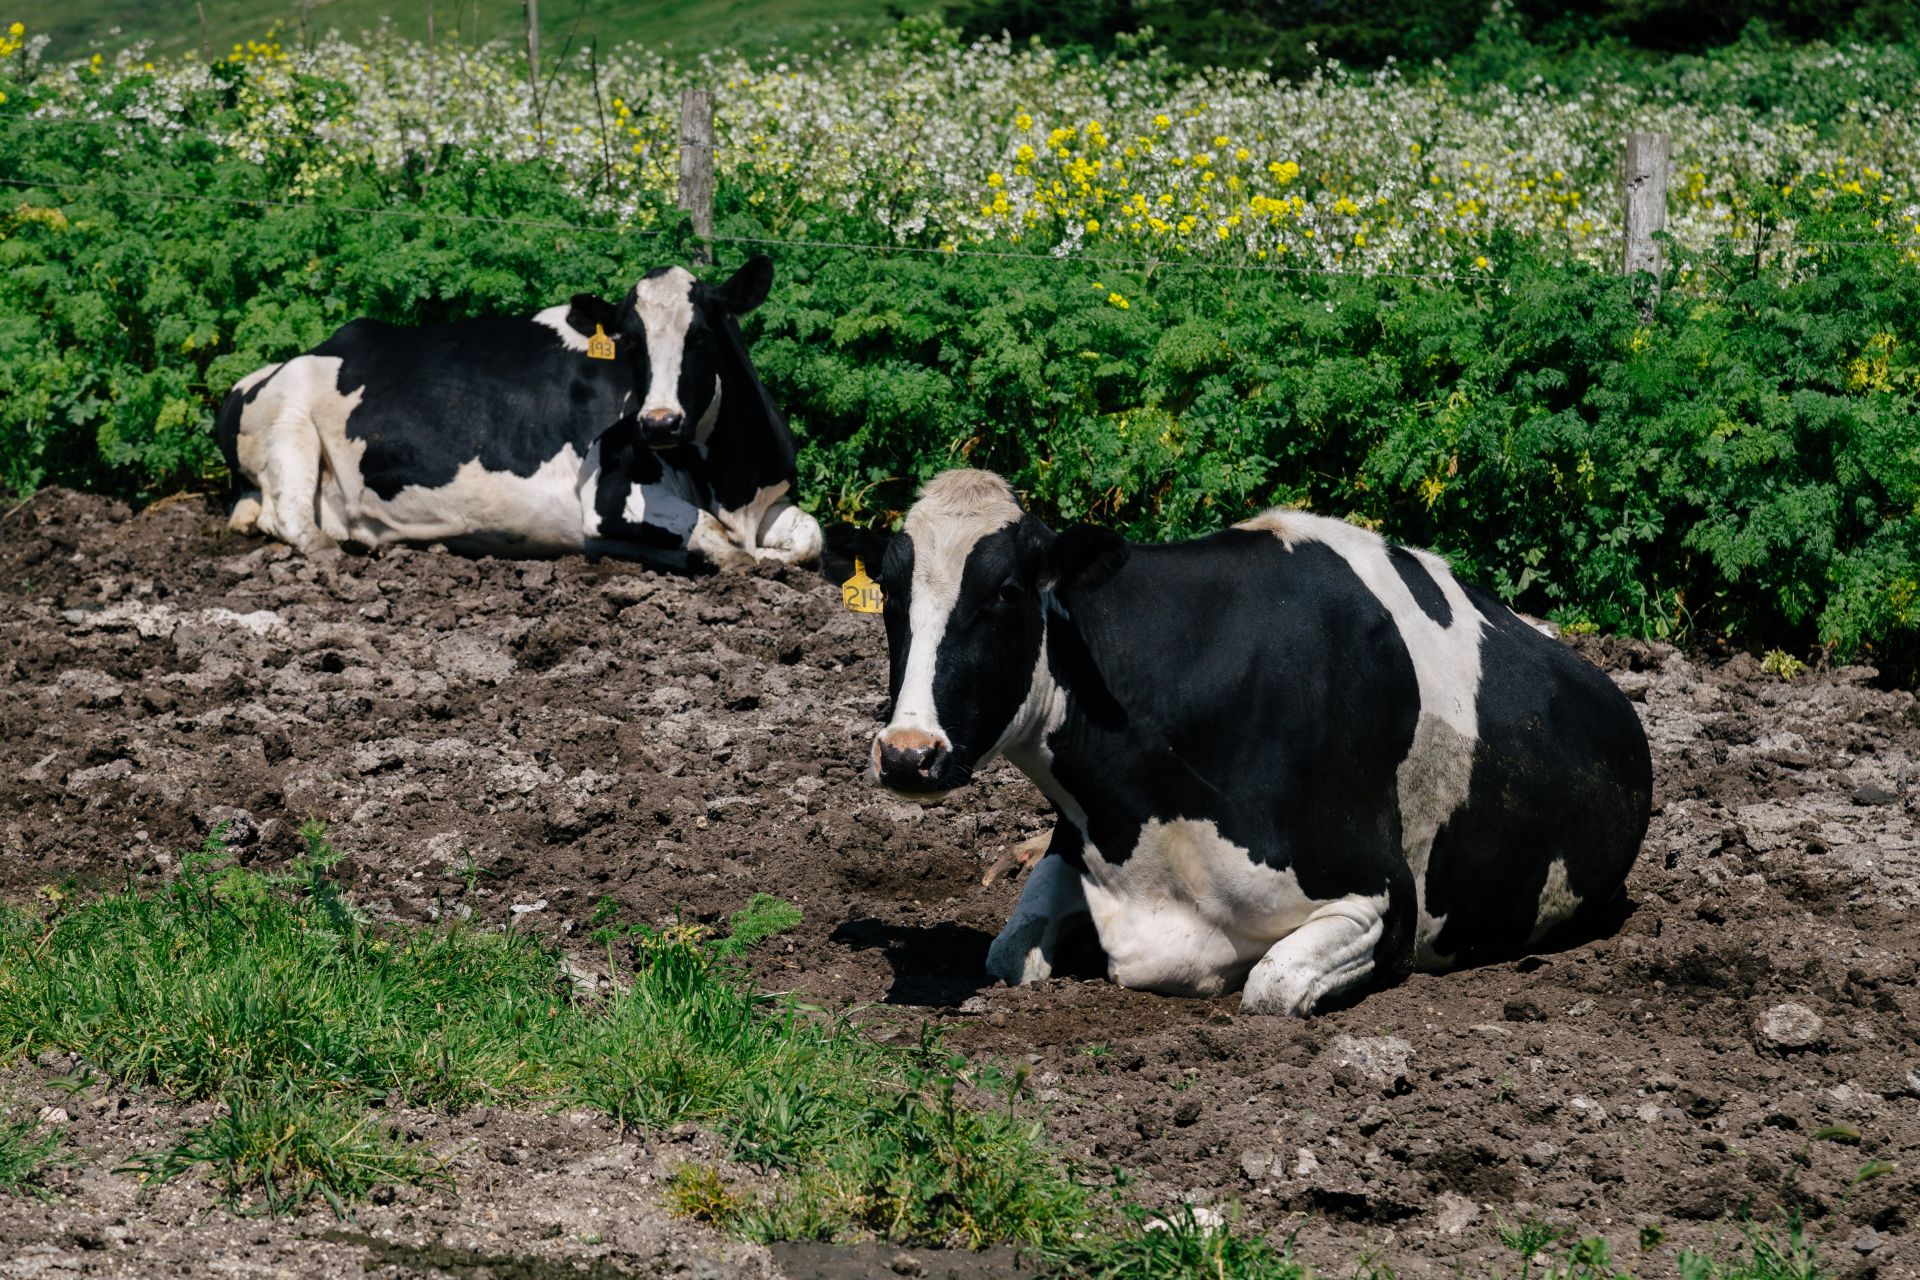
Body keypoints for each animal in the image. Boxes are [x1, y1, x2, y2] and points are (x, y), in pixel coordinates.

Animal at [216, 257, 817, 568]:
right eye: (630, 341)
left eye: (702, 334)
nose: (658, 423)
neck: (730, 481)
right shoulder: (608, 496)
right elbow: (718, 540)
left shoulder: (767, 496)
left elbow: (809, 538)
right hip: (289, 423)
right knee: (289, 517)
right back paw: (333, 548)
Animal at [848, 470, 1658, 1020]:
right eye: (888, 591)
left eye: (1007, 592)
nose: (908, 753)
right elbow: (1007, 951)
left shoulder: (1381, 897)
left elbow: (1269, 987)